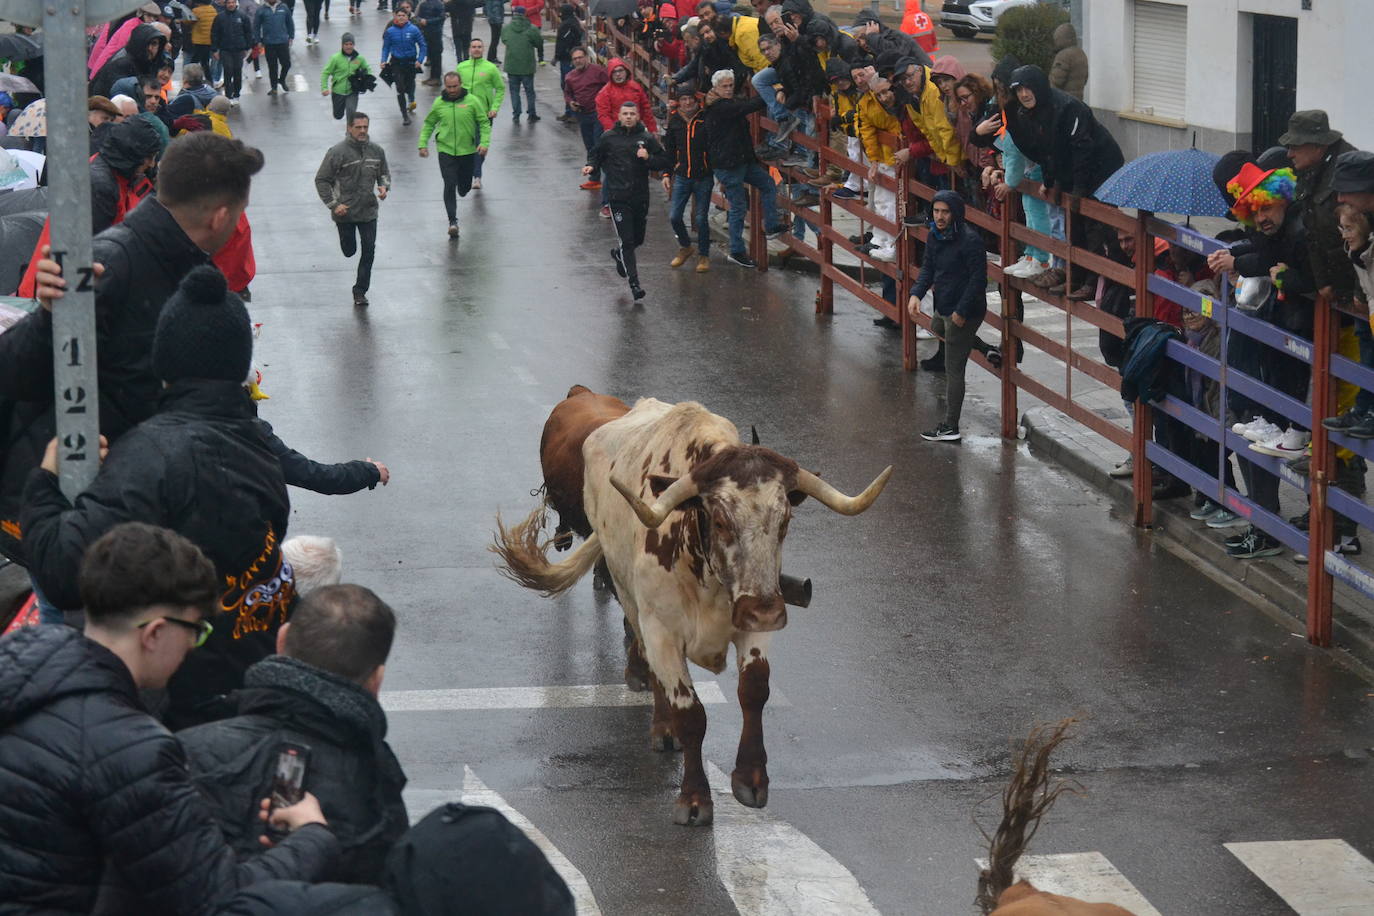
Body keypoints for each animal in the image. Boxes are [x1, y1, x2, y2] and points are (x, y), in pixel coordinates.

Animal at [494, 392, 890, 823]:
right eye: (719, 521)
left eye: (784, 521)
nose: (767, 612)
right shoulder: (662, 633)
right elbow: (690, 713)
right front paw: (695, 797)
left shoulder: (752, 622)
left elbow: (754, 691)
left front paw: (751, 779)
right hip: (629, 595)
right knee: (646, 658)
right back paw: (660, 725)